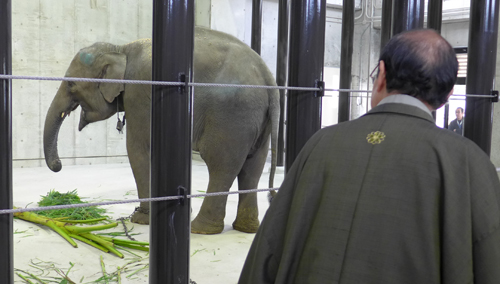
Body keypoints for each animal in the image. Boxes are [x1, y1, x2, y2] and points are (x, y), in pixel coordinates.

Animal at [43, 26, 280, 234]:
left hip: (232, 115)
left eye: (71, 84)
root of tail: (268, 77)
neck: (121, 49)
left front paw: (142, 219)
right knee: (252, 167)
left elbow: (139, 148)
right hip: (258, 122)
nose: (58, 165)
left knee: (221, 165)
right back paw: (246, 228)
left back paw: (200, 230)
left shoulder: (140, 92)